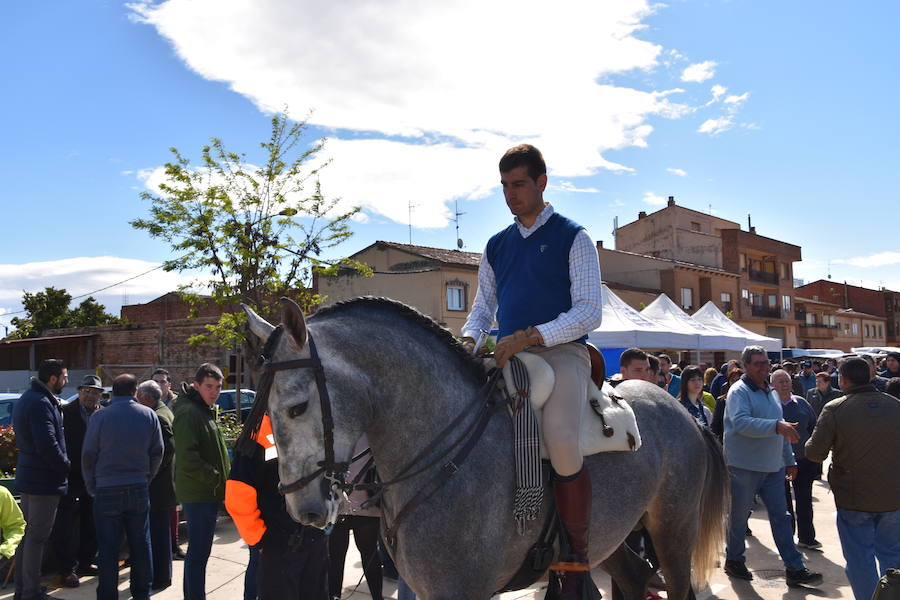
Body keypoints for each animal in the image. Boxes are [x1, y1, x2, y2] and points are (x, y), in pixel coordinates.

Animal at [243, 298, 728, 596]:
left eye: (297, 407)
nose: (304, 509)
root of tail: (682, 410)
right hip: (611, 537)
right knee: (634, 576)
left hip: (672, 529)